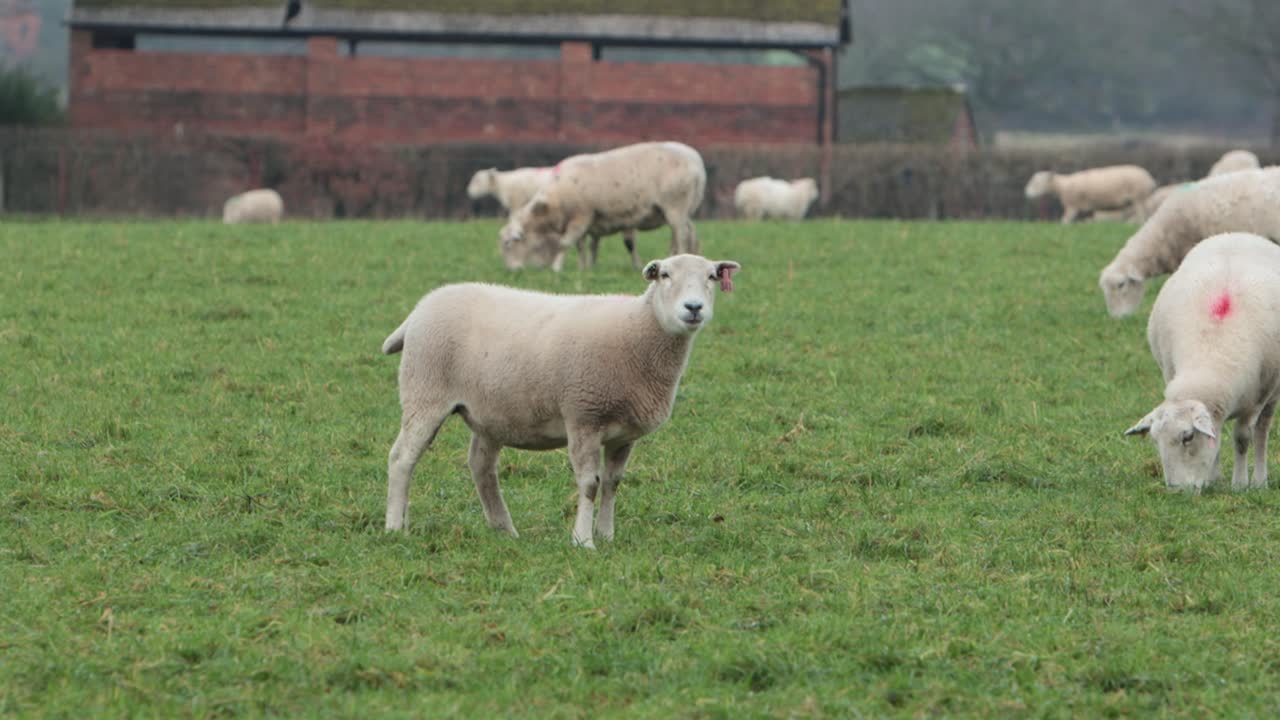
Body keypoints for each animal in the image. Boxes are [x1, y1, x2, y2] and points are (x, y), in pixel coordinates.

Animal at [380, 253, 742, 548]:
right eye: (664, 275)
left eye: (712, 276)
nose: (693, 308)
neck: (640, 330)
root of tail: (420, 309)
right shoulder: (583, 417)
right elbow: (590, 484)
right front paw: (583, 541)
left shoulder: (624, 435)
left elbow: (613, 483)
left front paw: (606, 535)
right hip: (425, 391)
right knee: (402, 458)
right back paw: (395, 526)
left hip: (489, 412)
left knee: (481, 467)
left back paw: (504, 530)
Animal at [499, 142, 705, 272]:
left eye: (509, 243)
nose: (512, 271)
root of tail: (697, 163)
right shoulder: (589, 220)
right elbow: (585, 245)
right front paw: (585, 267)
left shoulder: (581, 215)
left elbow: (566, 242)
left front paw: (556, 267)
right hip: (683, 209)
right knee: (690, 233)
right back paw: (687, 257)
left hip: (675, 206)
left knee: (681, 234)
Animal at [1024, 165, 1156, 224]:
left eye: (1037, 183)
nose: (1027, 194)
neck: (1063, 186)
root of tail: (1150, 178)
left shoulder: (1072, 206)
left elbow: (1065, 221)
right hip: (1141, 199)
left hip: (1139, 198)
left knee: (1142, 216)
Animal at [1124, 232, 1280, 492]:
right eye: (1155, 440)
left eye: (1188, 437)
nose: (1176, 490)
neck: (1211, 353)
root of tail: (1237, 234)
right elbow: (1214, 436)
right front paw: (1212, 479)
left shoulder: (1259, 396)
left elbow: (1242, 438)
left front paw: (1240, 484)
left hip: (1273, 392)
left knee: (1262, 432)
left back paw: (1260, 481)